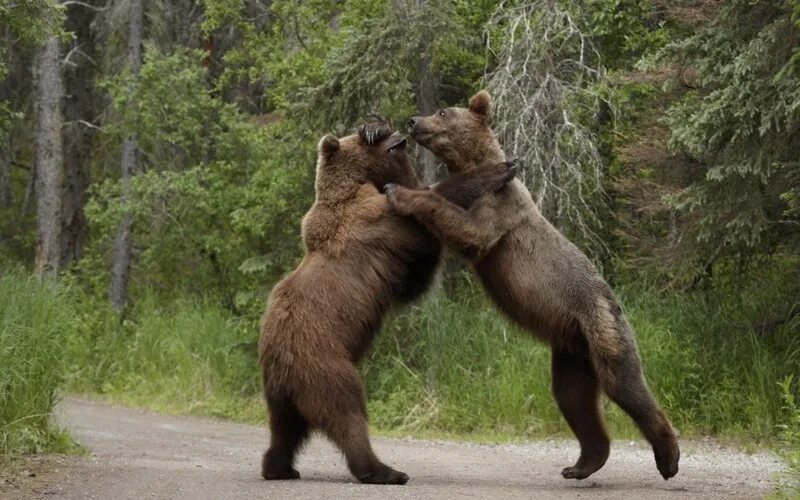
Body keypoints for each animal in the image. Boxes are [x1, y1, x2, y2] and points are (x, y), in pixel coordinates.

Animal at [260, 121, 516, 484]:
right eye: (381, 137)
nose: (395, 131)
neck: (353, 187)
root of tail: (281, 362)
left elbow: (416, 278)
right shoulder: (376, 224)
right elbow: (420, 220)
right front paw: (498, 170)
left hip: (280, 390)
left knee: (286, 428)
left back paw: (279, 467)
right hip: (323, 361)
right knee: (346, 410)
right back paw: (383, 470)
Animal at [384, 91, 680, 480]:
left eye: (443, 111)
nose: (413, 121)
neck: (473, 163)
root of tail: (613, 304)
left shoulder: (500, 210)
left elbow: (470, 231)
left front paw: (399, 192)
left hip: (603, 327)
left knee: (624, 383)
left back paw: (668, 458)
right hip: (573, 350)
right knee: (573, 397)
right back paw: (581, 465)